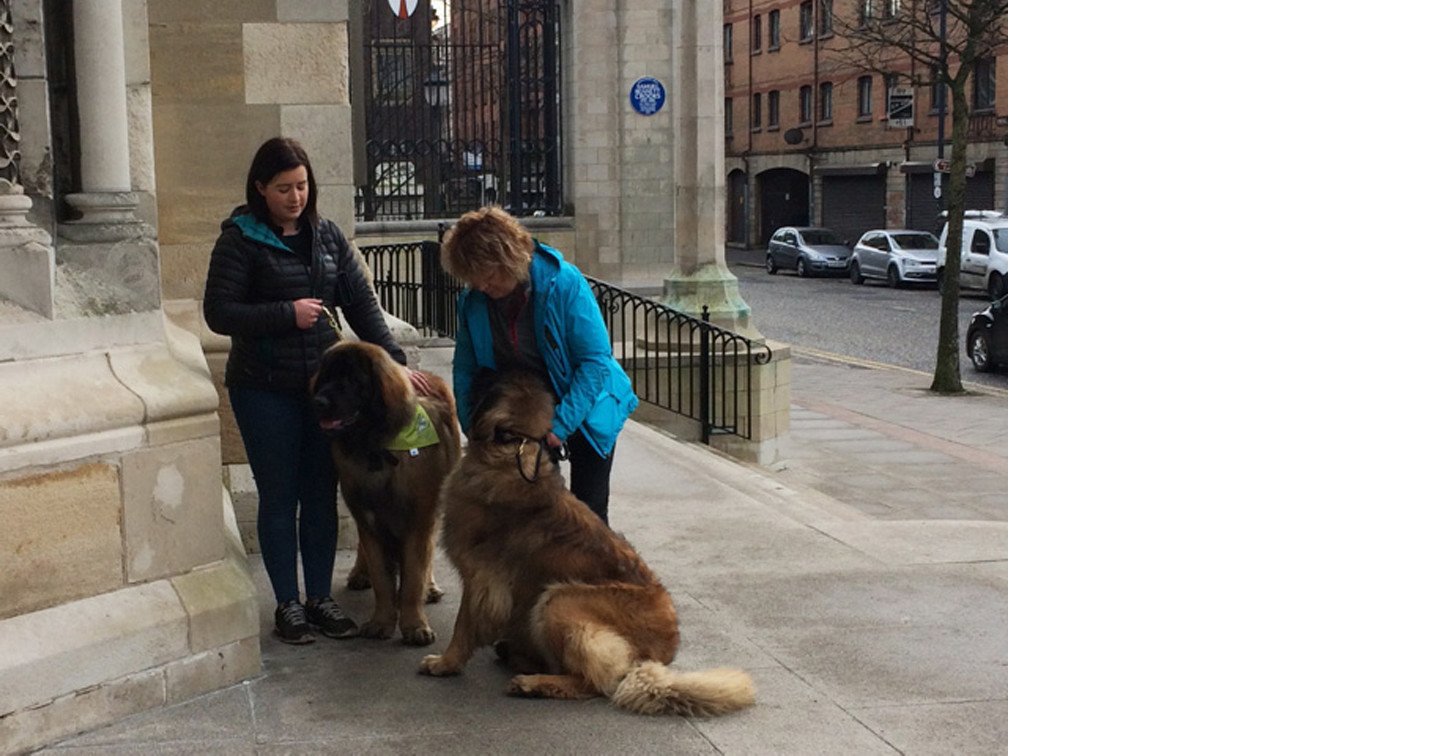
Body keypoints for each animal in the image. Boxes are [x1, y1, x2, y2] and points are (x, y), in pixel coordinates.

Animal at [313, 341, 460, 642]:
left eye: (353, 380)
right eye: (326, 377)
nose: (319, 402)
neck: (374, 447)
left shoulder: (419, 518)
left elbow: (414, 575)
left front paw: (414, 625)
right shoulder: (368, 516)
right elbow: (381, 577)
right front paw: (381, 621)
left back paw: (430, 587)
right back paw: (360, 573)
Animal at [417, 368, 754, 717]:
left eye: (492, 380)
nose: (476, 370)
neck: (512, 453)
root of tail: (660, 656)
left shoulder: (480, 579)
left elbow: (464, 624)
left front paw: (445, 662)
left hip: (558, 600)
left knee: (593, 683)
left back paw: (532, 682)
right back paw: (520, 658)